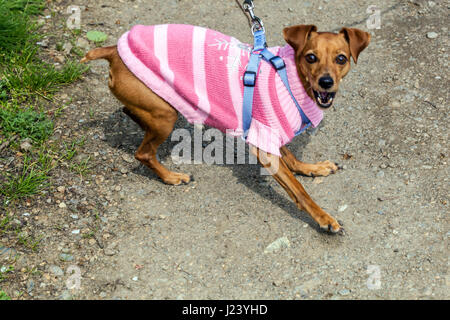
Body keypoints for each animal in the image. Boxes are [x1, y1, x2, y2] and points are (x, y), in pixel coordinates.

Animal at [82, 25, 370, 234]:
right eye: (311, 57)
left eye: (341, 59)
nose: (326, 82)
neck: (290, 79)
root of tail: (113, 50)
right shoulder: (264, 145)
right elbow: (299, 190)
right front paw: (323, 217)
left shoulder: (269, 132)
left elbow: (290, 157)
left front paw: (312, 168)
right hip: (165, 115)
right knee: (142, 153)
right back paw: (172, 177)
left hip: (156, 106)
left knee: (131, 114)